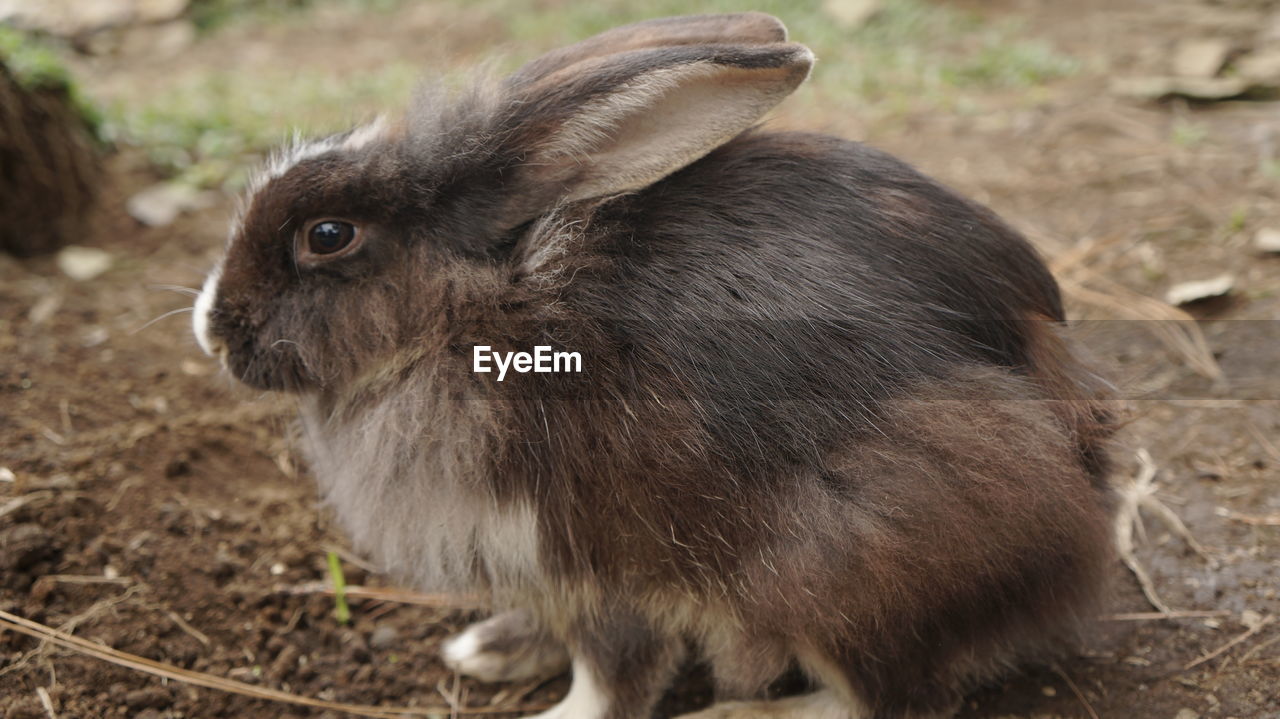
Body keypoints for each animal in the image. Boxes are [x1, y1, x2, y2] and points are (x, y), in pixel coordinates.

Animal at [192, 12, 1121, 716]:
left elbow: (611, 674)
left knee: (886, 697)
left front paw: (555, 714)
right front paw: (489, 648)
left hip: (856, 563)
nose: (212, 331)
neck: (474, 312)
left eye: (326, 235)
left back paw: (739, 713)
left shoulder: (592, 560)